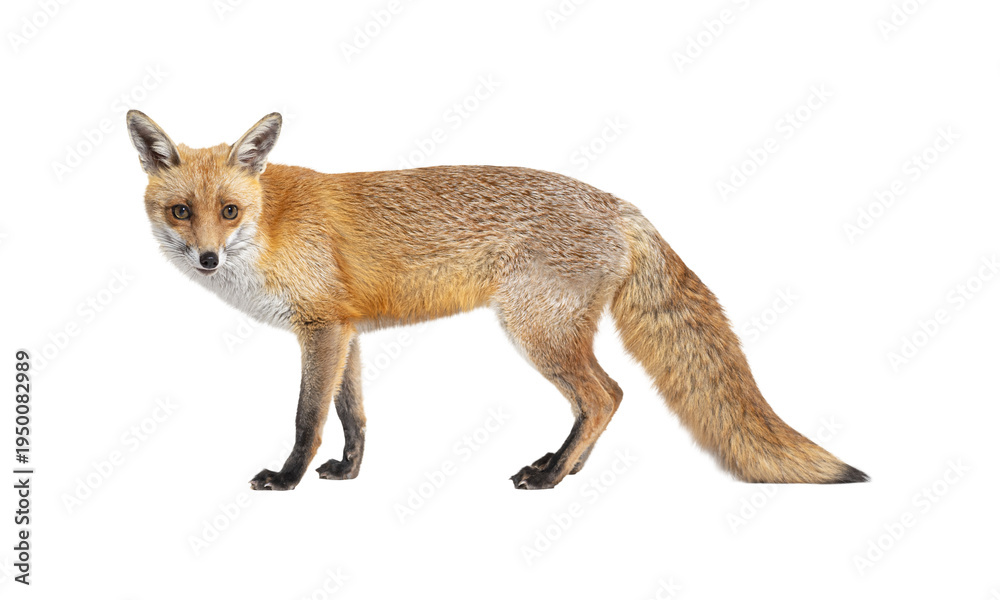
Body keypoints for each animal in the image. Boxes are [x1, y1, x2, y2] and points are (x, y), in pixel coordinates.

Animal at [126, 110, 867, 491]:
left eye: (229, 210)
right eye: (182, 211)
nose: (208, 257)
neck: (271, 222)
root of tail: (621, 206)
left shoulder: (323, 331)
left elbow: (308, 417)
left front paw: (287, 480)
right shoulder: (345, 330)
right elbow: (353, 414)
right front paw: (348, 472)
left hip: (536, 330)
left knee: (606, 396)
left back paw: (553, 475)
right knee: (600, 402)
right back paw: (562, 466)